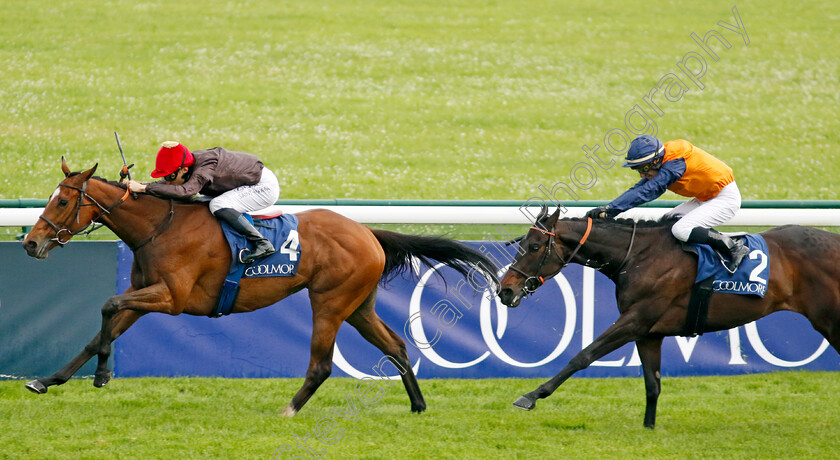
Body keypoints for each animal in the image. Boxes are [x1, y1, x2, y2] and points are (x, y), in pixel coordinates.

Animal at [23, 160, 498, 418]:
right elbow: (99, 329)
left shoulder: (171, 299)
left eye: (62, 201)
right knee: (397, 345)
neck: (161, 226)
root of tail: (366, 232)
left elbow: (107, 304)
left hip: (330, 302)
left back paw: (289, 408)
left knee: (322, 365)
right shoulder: (145, 297)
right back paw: (418, 406)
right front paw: (48, 380)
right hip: (360, 305)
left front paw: (102, 374)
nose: (31, 243)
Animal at [498, 207, 840, 430]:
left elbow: (583, 356)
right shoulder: (649, 332)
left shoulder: (636, 320)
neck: (639, 256)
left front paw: (531, 396)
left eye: (533, 246)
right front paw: (648, 428)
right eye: (522, 244)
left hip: (830, 320)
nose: (505, 289)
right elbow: (653, 383)